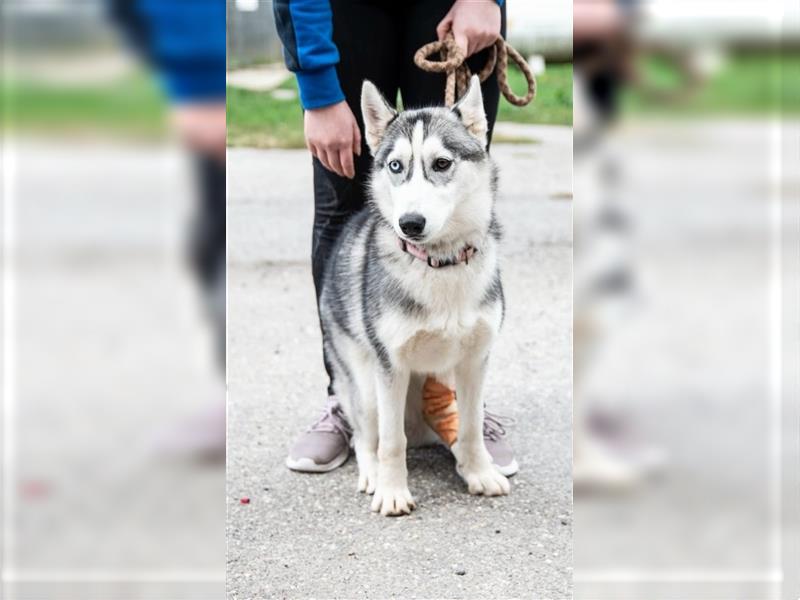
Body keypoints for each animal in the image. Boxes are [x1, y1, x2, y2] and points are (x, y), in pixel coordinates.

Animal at [318, 75, 510, 516]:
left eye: (441, 163)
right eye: (396, 166)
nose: (410, 223)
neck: (441, 264)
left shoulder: (475, 361)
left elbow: (472, 427)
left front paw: (478, 472)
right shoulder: (391, 366)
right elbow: (391, 442)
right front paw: (392, 491)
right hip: (364, 380)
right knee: (365, 434)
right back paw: (372, 473)